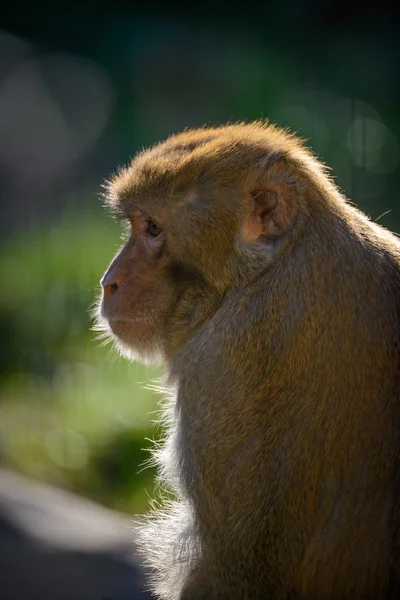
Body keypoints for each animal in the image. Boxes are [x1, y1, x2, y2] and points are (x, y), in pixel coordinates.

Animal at [96, 123, 400, 600]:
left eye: (153, 228)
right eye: (136, 225)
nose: (108, 283)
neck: (264, 274)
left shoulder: (221, 367)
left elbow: (240, 568)